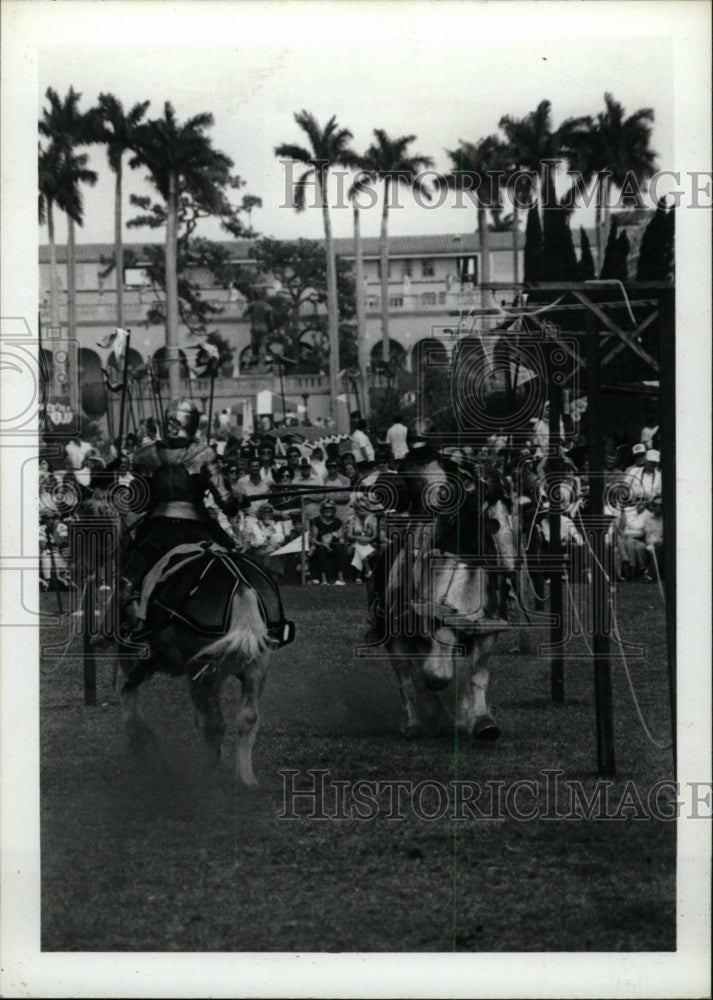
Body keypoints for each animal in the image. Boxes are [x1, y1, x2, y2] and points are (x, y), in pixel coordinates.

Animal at [73, 480, 294, 784]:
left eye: (86, 520)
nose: (79, 568)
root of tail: (241, 586)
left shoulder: (134, 656)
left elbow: (128, 699)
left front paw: (141, 742)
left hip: (201, 670)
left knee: (214, 724)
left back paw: (207, 777)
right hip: (254, 666)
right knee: (245, 719)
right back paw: (245, 779)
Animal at [370, 454, 516, 744]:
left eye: (508, 504)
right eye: (484, 505)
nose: (508, 564)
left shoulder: (487, 632)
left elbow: (476, 677)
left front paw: (482, 722)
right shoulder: (440, 625)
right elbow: (436, 675)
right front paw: (446, 714)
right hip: (396, 639)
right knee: (407, 678)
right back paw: (414, 723)